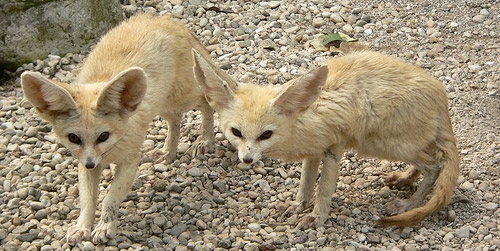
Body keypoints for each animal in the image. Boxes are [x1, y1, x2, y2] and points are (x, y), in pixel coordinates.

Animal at [19, 14, 226, 243]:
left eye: (103, 136)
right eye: (73, 138)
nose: (91, 164)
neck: (111, 151)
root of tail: (165, 19)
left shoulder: (130, 161)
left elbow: (110, 197)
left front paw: (104, 227)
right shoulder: (84, 164)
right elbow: (87, 201)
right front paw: (82, 227)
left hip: (182, 97)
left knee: (206, 102)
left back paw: (205, 139)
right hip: (163, 104)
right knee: (175, 121)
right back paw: (168, 152)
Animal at [193, 50, 458, 228]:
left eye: (265, 135)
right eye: (236, 132)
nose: (247, 160)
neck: (303, 117)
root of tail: (441, 99)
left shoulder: (334, 148)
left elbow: (324, 189)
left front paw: (316, 217)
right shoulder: (312, 152)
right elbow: (306, 183)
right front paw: (298, 206)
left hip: (385, 145)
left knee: (435, 166)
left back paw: (408, 204)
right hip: (400, 145)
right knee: (428, 161)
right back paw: (404, 179)